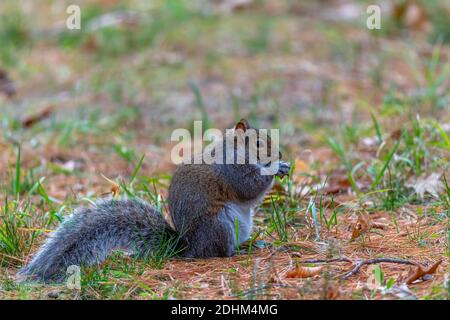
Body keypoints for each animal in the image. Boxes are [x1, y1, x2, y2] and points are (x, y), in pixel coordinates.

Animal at [17, 119, 290, 282]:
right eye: (258, 143)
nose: (279, 153)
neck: (233, 150)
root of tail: (187, 247)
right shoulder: (231, 170)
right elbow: (248, 188)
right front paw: (276, 166)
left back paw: (251, 244)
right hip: (219, 224)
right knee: (216, 251)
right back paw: (233, 252)